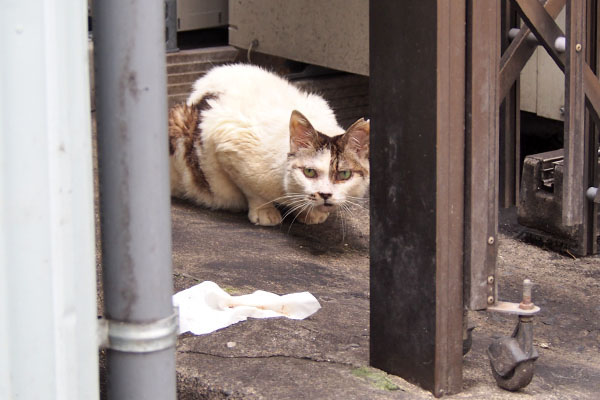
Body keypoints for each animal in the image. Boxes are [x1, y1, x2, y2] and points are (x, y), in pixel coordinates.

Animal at [166, 63, 368, 225]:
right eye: (309, 172)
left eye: (344, 174)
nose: (325, 195)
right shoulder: (228, 145)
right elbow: (252, 191)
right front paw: (265, 211)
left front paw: (309, 213)